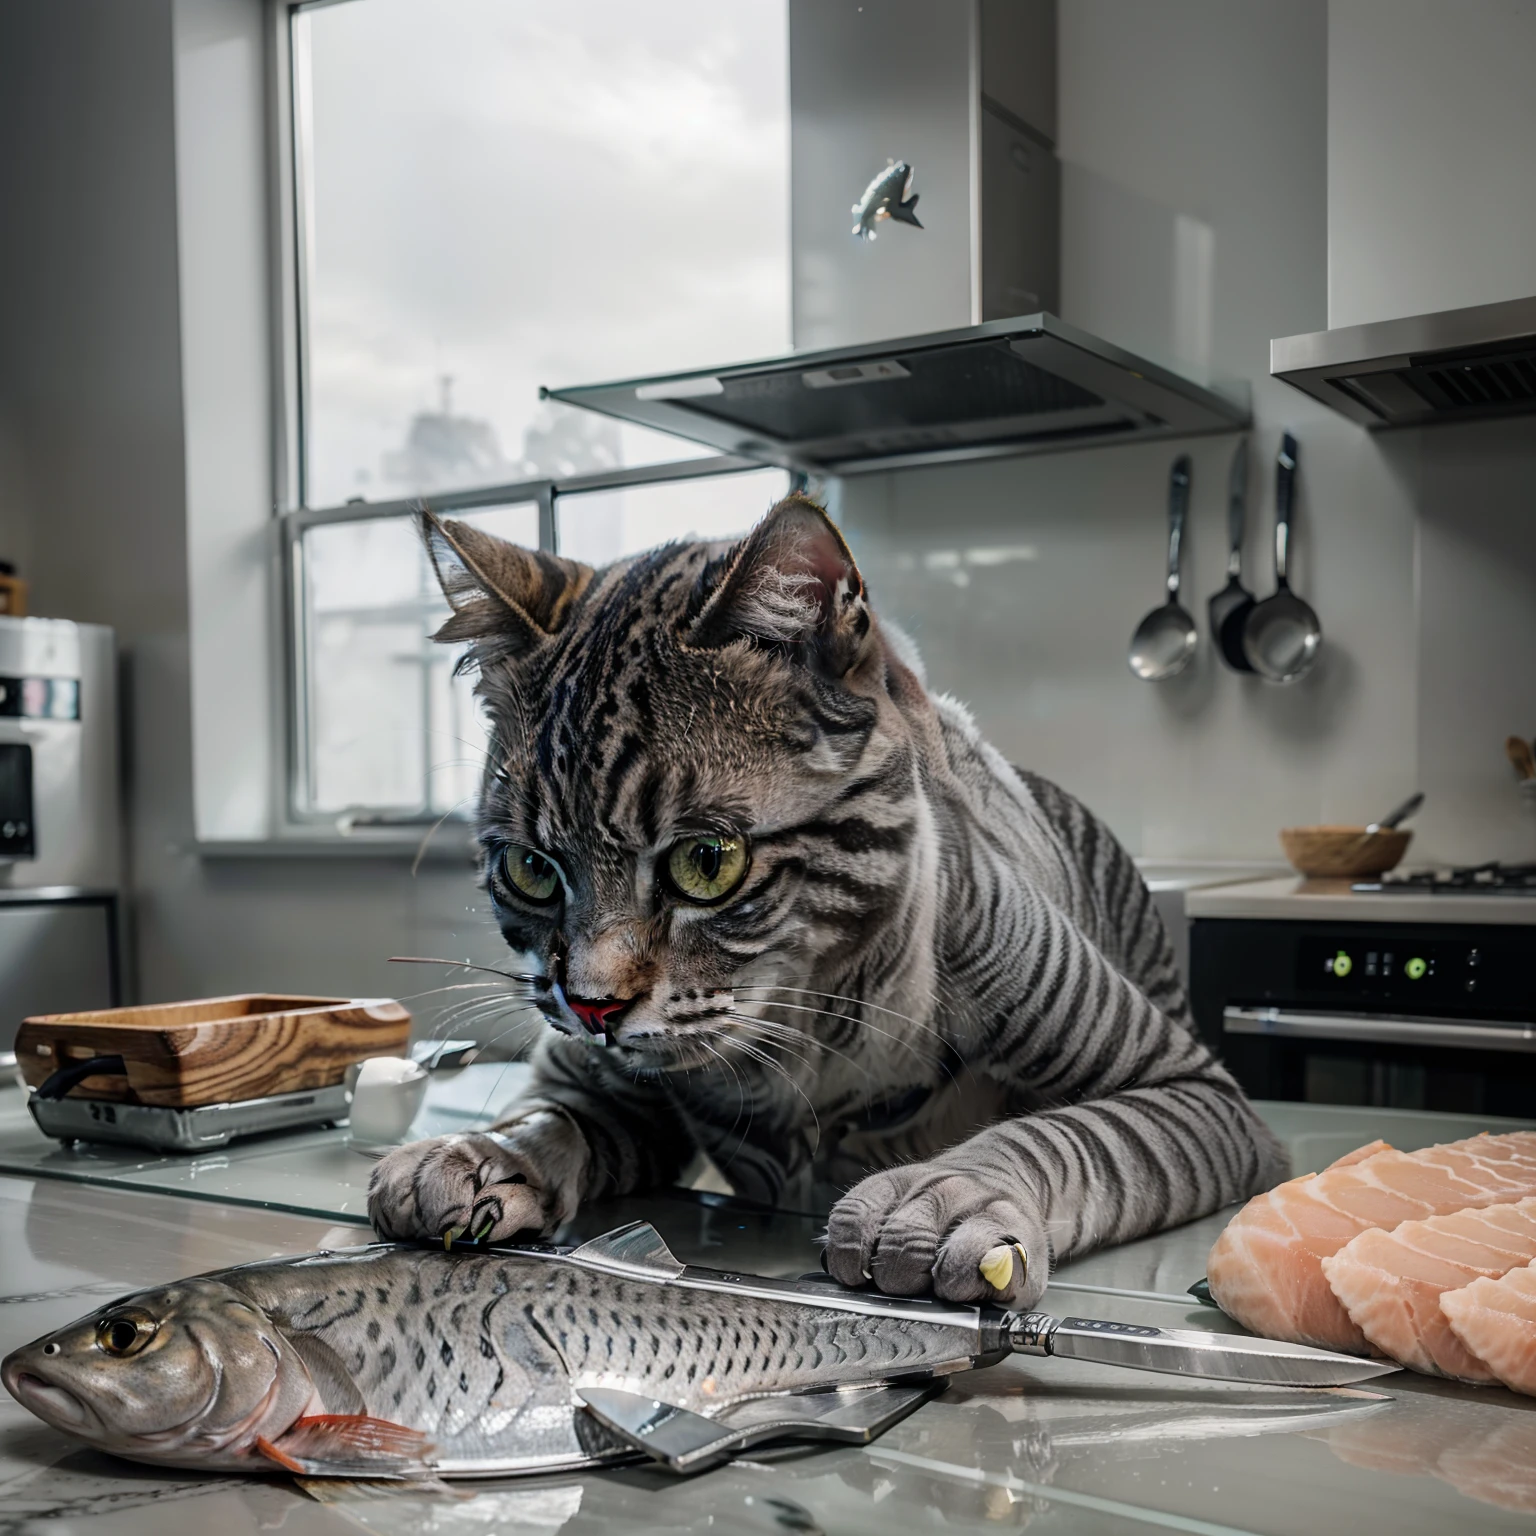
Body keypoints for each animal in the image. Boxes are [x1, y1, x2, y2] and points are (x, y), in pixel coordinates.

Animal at [368, 494, 1284, 1308]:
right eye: (530, 868)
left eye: (707, 861)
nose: (591, 1007)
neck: (806, 1037)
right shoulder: (609, 1089)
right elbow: (551, 1112)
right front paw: (481, 1149)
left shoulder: (1194, 1090)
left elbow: (1074, 1135)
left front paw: (944, 1193)